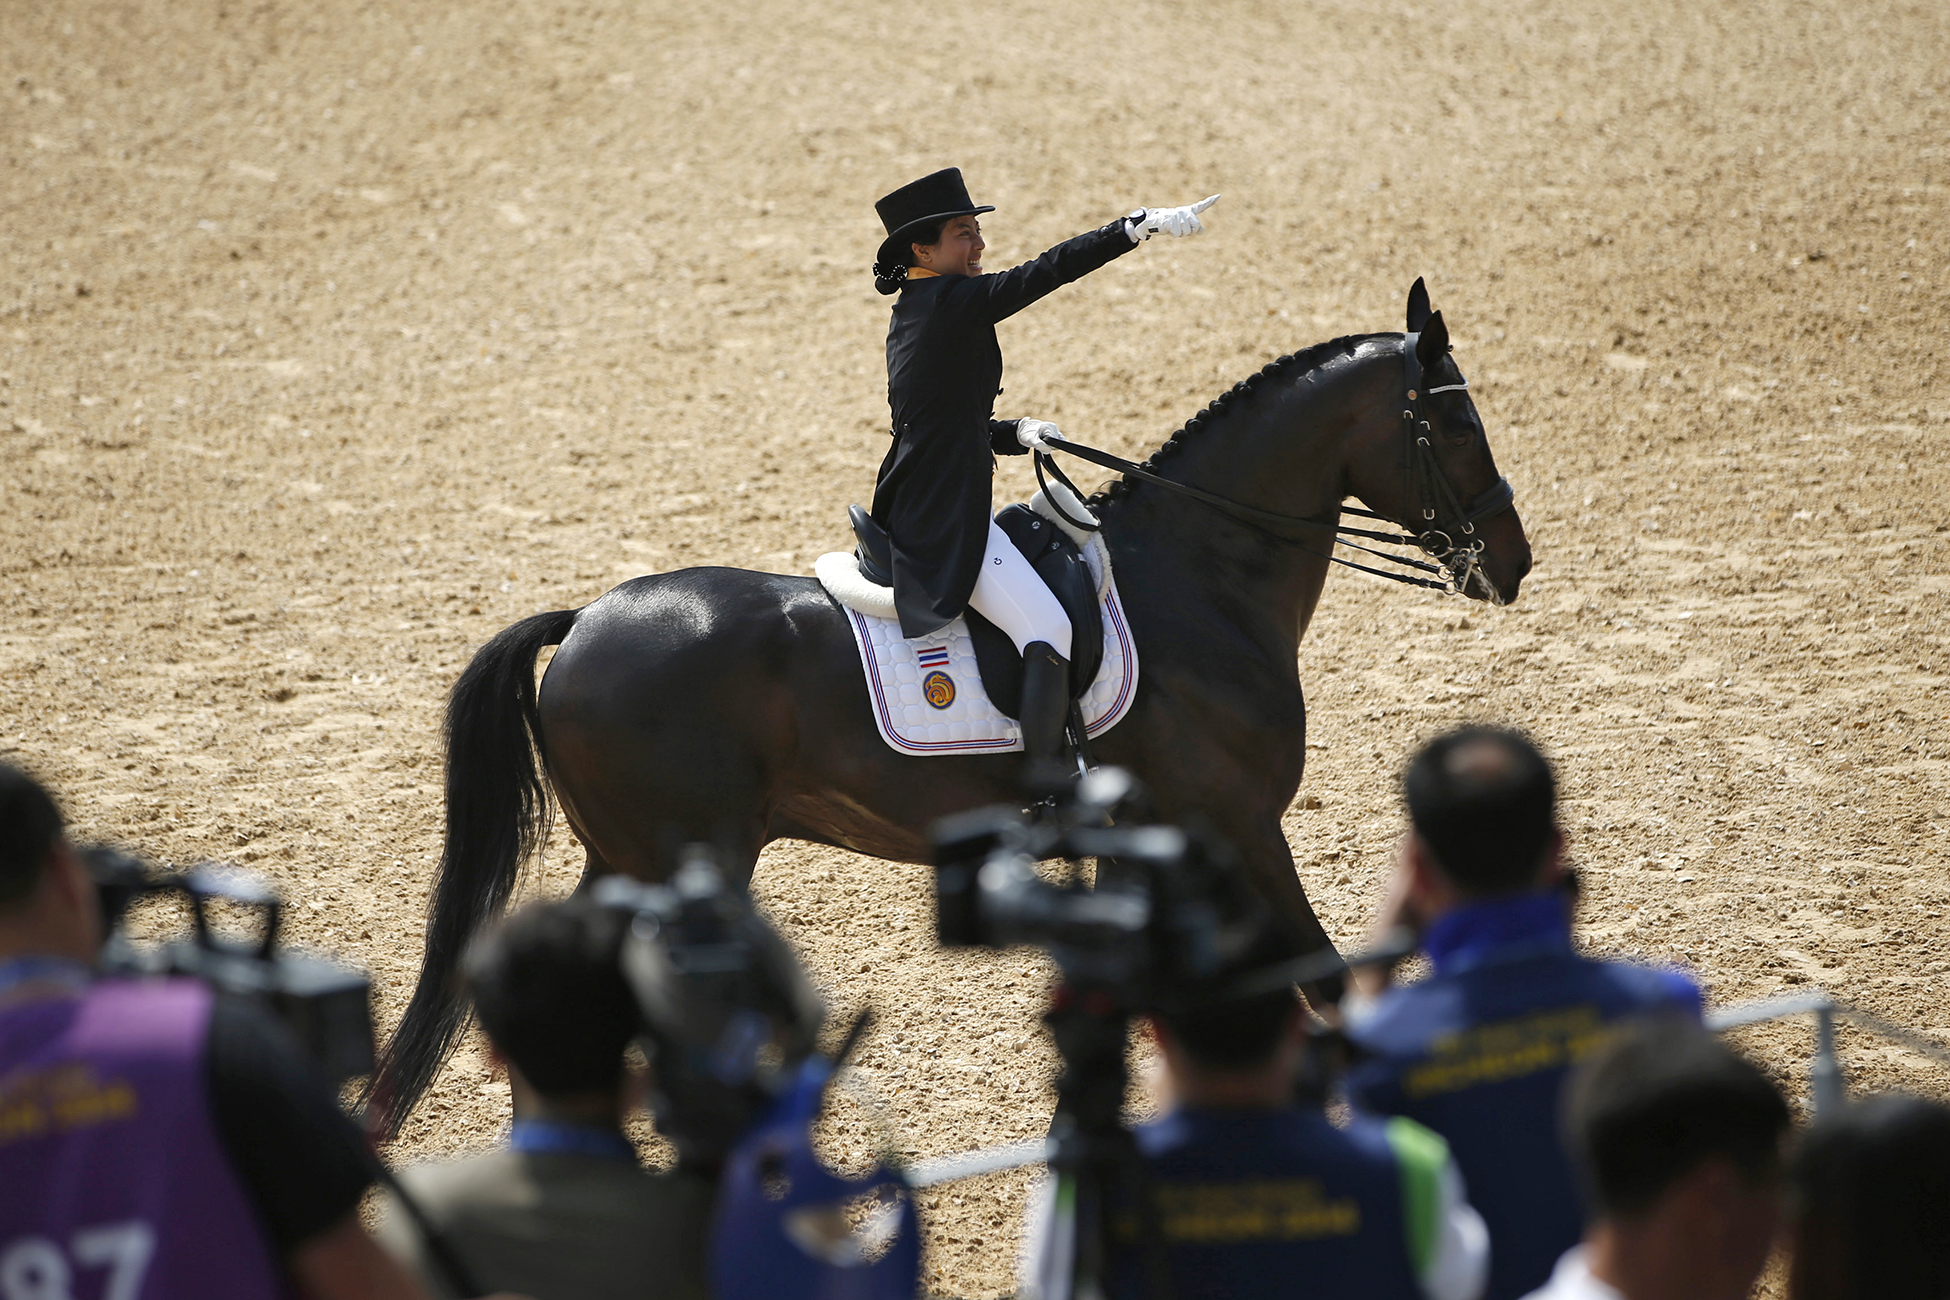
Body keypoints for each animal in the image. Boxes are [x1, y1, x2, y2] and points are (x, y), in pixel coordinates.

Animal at [372, 282, 1528, 1130]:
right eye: (1457, 418)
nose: (1513, 564)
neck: (1200, 579)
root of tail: (585, 622)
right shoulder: (1239, 824)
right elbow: (1323, 977)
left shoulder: (1152, 838)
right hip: (683, 861)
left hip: (628, 858)